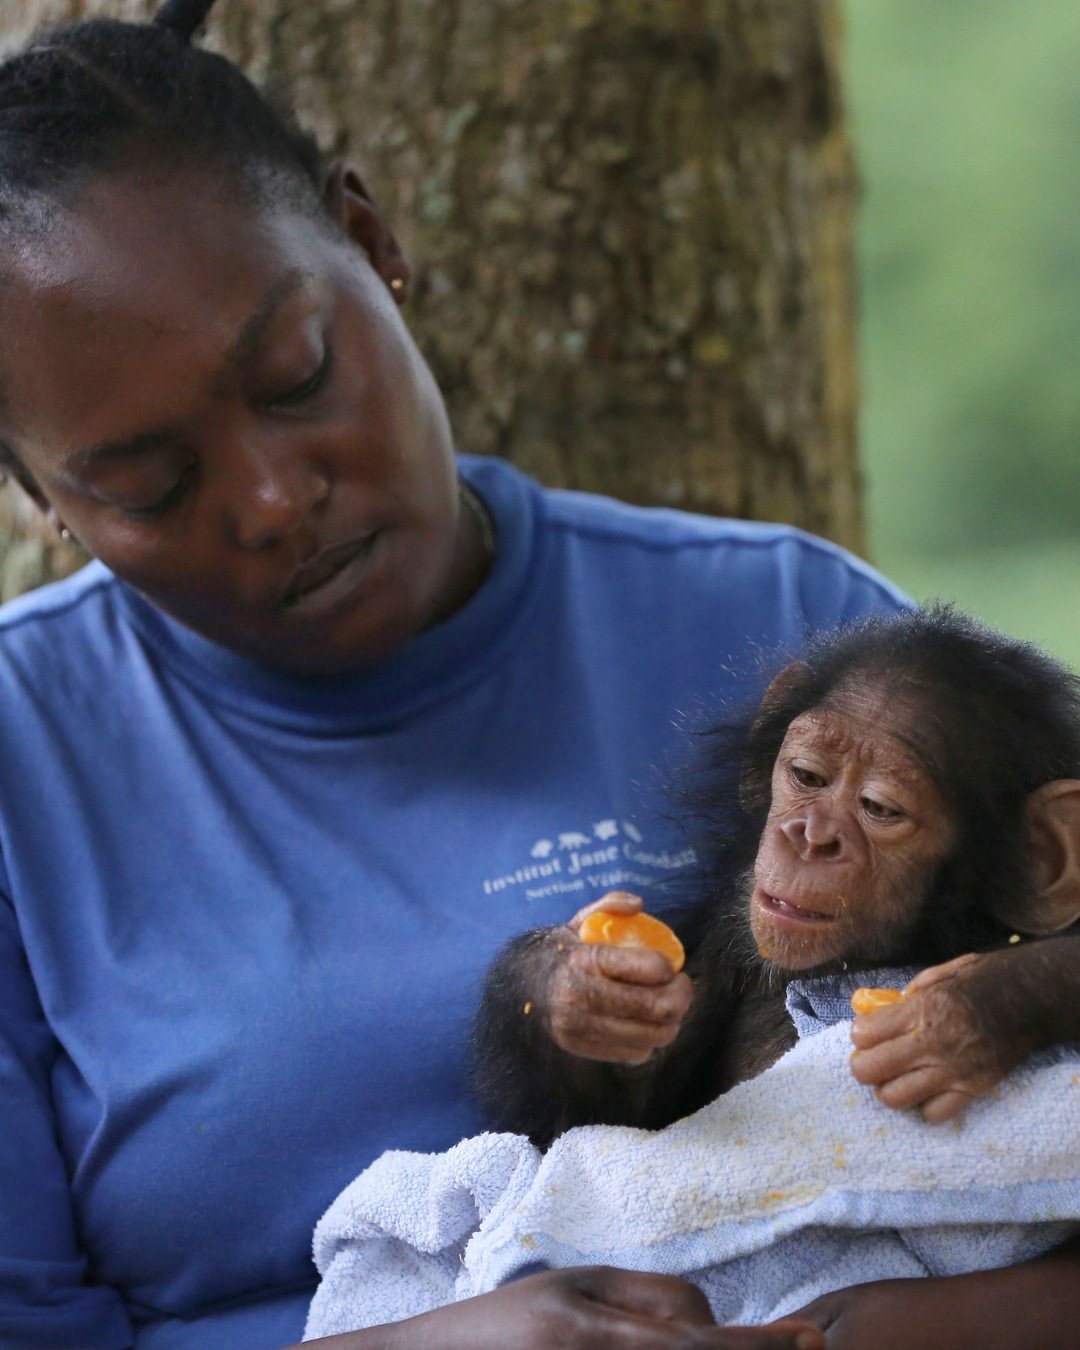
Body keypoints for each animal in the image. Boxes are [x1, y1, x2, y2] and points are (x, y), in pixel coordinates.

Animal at [472, 605, 1080, 1149]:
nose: (811, 838)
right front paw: (570, 983)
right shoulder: (727, 931)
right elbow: (612, 1121)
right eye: (807, 775)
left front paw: (968, 1012)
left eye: (879, 808)